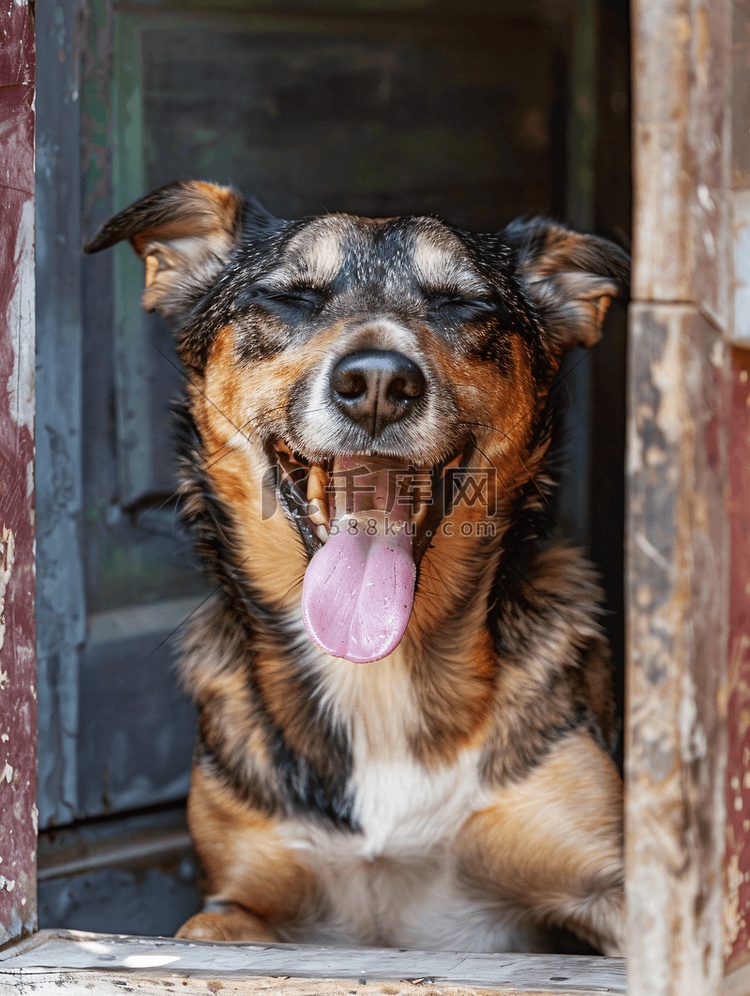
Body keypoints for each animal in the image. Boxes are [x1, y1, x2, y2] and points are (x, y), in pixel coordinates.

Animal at [83, 181, 628, 956]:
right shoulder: (232, 903)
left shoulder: (615, 892)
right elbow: (202, 926)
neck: (375, 674)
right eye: (290, 297)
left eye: (463, 304)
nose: (376, 382)